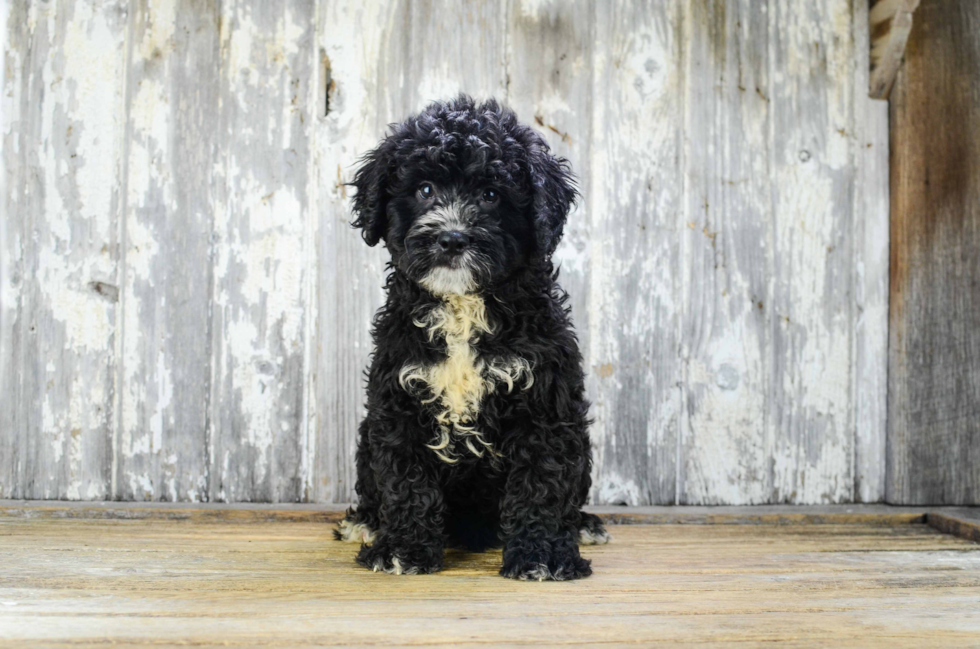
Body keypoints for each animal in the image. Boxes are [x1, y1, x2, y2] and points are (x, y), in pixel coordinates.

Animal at [338, 92, 612, 584]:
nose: (451, 238)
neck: (463, 306)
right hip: (368, 435)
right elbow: (405, 481)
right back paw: (366, 522)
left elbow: (541, 482)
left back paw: (582, 525)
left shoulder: (545, 404)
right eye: (425, 189)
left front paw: (542, 554)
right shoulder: (399, 400)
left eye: (491, 195)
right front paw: (403, 549)